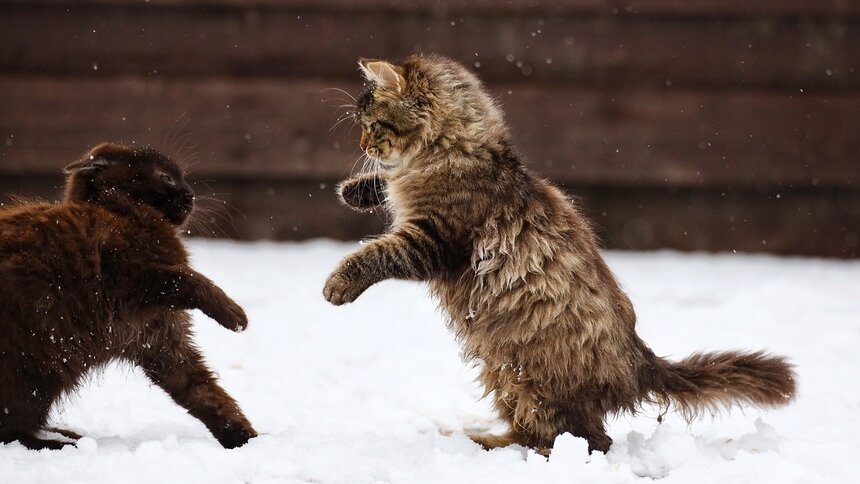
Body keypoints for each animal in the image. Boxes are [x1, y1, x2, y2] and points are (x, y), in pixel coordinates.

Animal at [0, 143, 255, 450]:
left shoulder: (160, 339)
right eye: (166, 177)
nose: (190, 194)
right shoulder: (128, 276)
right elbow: (188, 278)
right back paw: (61, 443)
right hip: (32, 370)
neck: (124, 212)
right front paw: (235, 315)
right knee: (12, 432)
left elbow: (204, 392)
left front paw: (247, 439)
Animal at [326, 54, 796, 456]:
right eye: (361, 126)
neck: (459, 152)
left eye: (374, 125)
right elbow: (385, 185)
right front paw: (353, 190)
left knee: (586, 440)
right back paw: (487, 441)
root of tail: (639, 362)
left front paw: (337, 285)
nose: (363, 145)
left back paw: (514, 451)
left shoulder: (432, 239)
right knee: (542, 430)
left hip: (536, 384)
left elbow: (374, 253)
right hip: (503, 374)